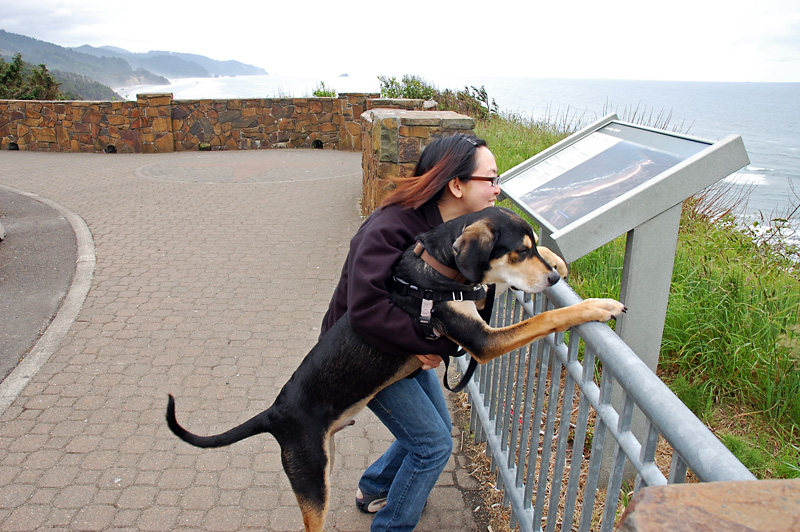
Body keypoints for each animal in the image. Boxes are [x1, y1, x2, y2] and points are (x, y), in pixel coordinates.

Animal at [166, 207, 628, 532]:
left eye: (532, 247)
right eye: (518, 252)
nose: (552, 280)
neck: (437, 269)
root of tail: (275, 412)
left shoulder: (476, 301)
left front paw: (558, 260)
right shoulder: (482, 342)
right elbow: (549, 318)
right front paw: (598, 306)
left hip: (325, 460)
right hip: (311, 479)